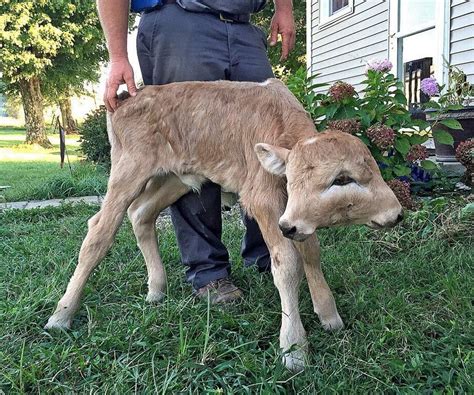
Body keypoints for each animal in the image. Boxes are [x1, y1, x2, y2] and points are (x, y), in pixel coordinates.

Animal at [44, 79, 402, 372]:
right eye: (342, 179)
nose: (397, 212)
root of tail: (125, 99)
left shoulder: (295, 217)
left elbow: (311, 251)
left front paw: (328, 314)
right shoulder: (263, 201)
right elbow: (287, 264)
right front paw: (294, 348)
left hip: (175, 177)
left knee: (141, 213)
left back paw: (156, 289)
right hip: (128, 169)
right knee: (99, 232)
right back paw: (62, 315)